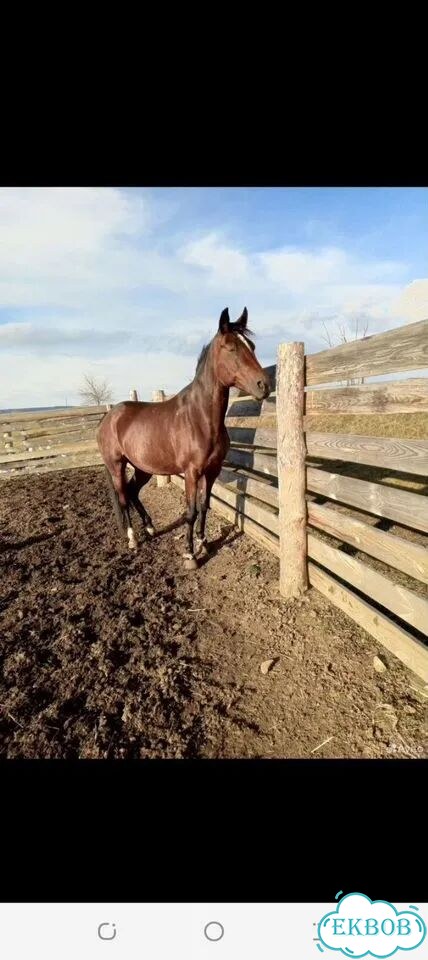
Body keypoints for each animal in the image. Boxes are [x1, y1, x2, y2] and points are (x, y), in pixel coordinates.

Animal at [97, 307, 271, 570]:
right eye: (230, 347)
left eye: (251, 345)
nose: (264, 385)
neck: (200, 418)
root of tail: (108, 417)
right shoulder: (192, 472)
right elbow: (190, 512)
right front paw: (190, 554)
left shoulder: (212, 471)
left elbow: (204, 507)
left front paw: (203, 543)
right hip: (116, 465)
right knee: (124, 497)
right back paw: (133, 539)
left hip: (143, 467)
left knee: (133, 492)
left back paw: (150, 528)